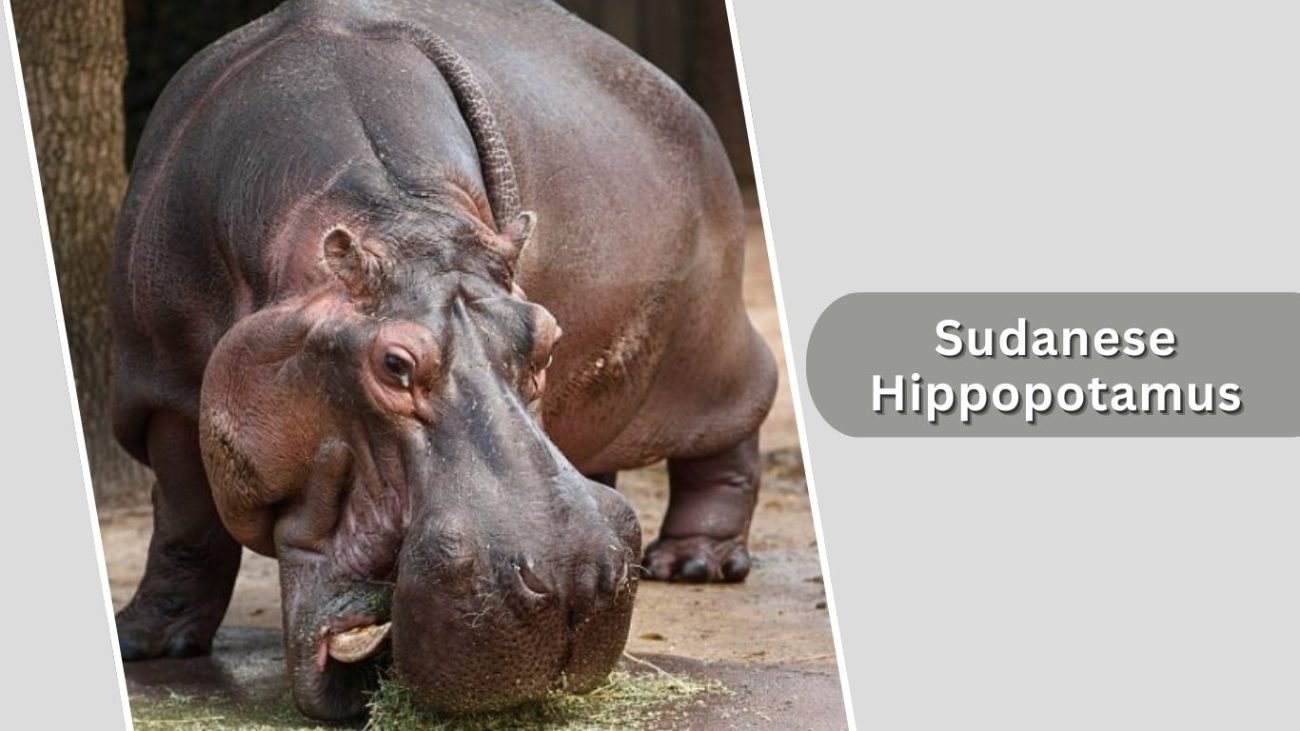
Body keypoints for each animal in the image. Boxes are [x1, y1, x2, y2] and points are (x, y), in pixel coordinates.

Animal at [109, 0, 777, 720]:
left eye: (545, 337)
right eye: (394, 364)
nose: (575, 576)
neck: (395, 213)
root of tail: (682, 99)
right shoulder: (163, 392)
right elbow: (184, 521)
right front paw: (144, 644)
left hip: (710, 344)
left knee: (734, 425)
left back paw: (695, 563)